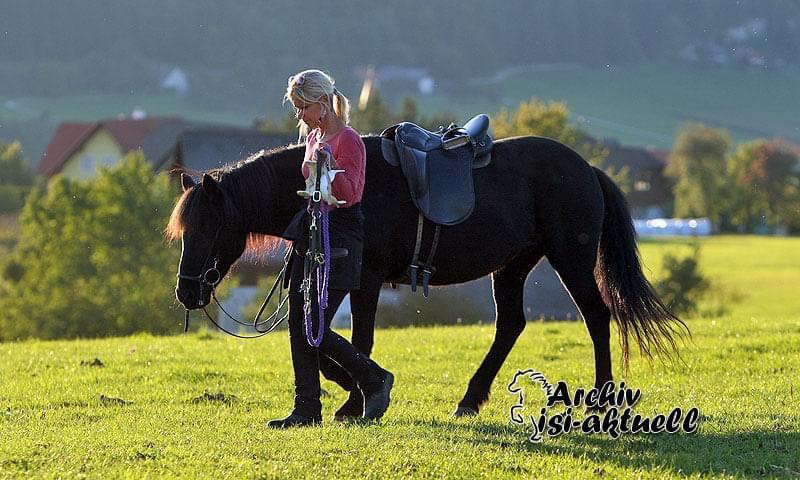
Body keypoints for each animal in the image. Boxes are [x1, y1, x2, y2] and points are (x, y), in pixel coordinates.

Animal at [166, 134, 684, 416]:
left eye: (210, 226)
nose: (187, 292)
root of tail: (586, 168)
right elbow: (324, 336)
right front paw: (350, 389)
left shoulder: (366, 278)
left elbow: (359, 339)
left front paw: (356, 400)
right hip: (513, 266)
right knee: (511, 325)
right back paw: (470, 399)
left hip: (570, 260)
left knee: (597, 317)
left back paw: (600, 398)